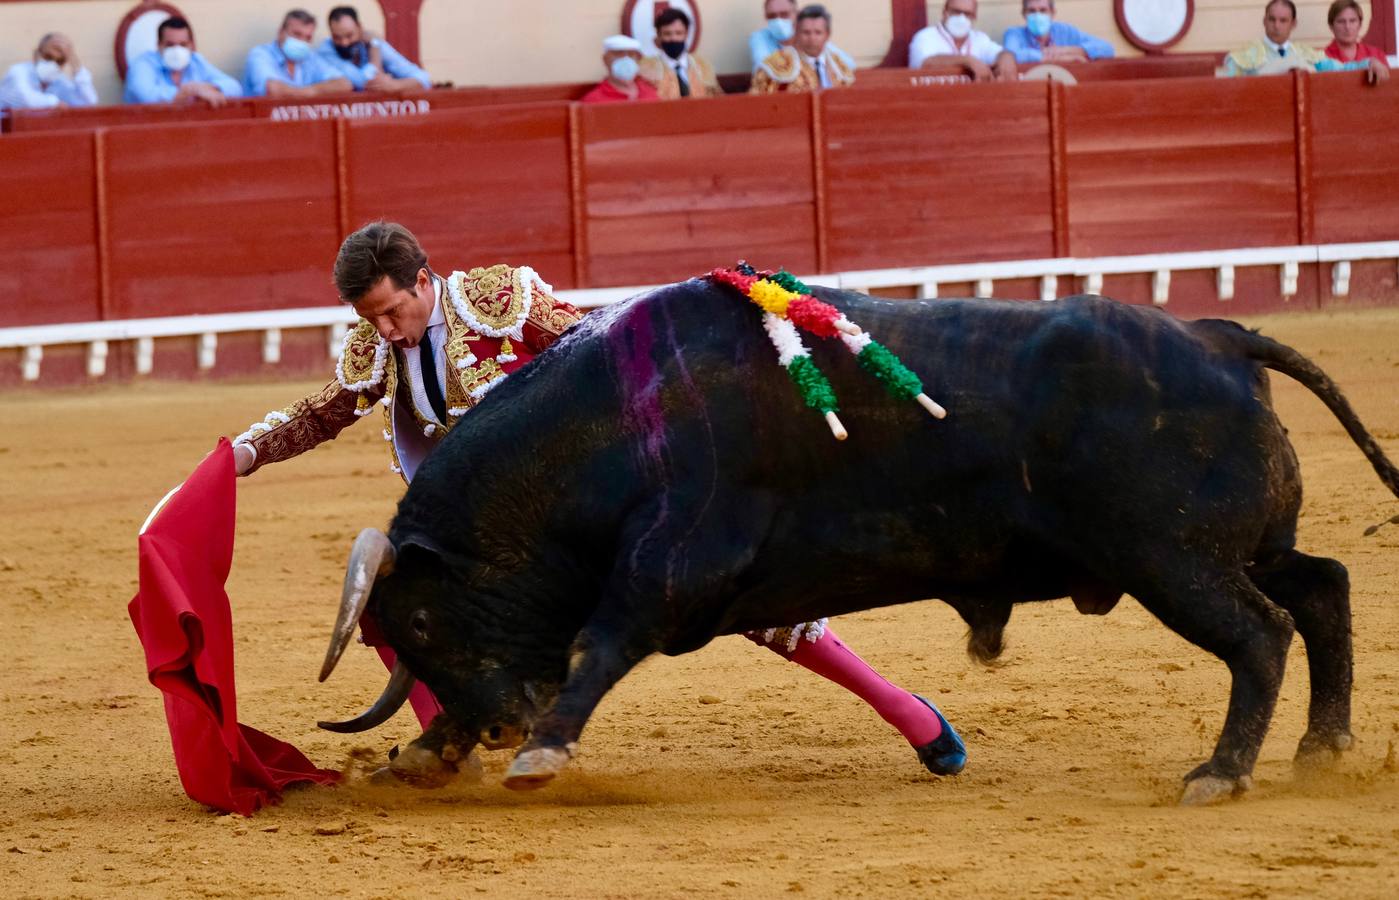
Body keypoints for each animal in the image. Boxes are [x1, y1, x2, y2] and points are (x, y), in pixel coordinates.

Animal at [314, 278, 1399, 806]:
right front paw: (427, 755)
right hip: (1234, 547)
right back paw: (1322, 747)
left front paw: (541, 754)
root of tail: (1217, 336)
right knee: (1323, 587)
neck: (616, 421)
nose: (497, 730)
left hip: (1171, 562)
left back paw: (1222, 773)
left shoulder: (673, 564)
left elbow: (597, 645)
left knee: (1260, 634)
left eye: (419, 621)